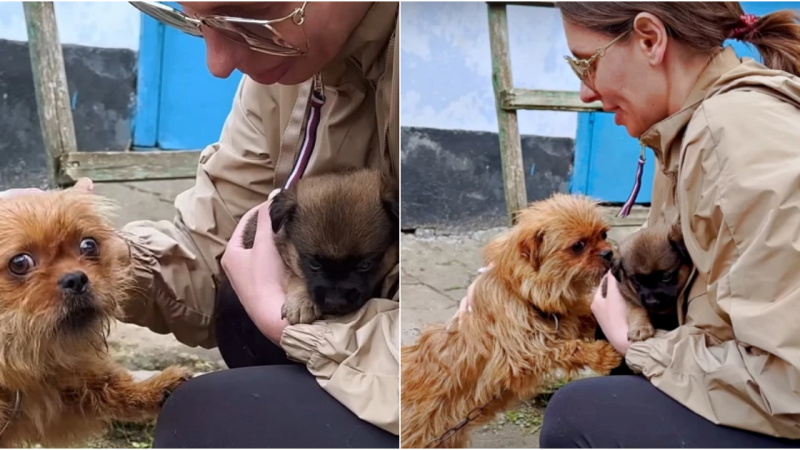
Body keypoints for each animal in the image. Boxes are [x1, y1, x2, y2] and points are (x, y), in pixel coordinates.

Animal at [404, 194, 620, 450]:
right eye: (578, 246)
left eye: (603, 235)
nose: (608, 253)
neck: (524, 294)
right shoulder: (521, 354)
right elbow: (567, 348)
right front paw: (601, 355)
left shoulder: (570, 317)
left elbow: (587, 316)